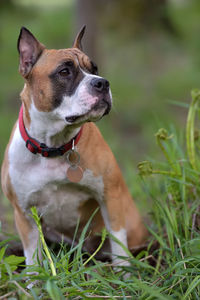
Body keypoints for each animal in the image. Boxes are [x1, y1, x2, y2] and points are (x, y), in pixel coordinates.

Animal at [0, 27, 146, 268]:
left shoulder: (110, 197)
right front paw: (34, 280)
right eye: (65, 71)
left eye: (94, 69)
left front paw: (126, 275)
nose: (102, 83)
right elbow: (33, 260)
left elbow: (119, 246)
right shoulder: (24, 215)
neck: (53, 146)